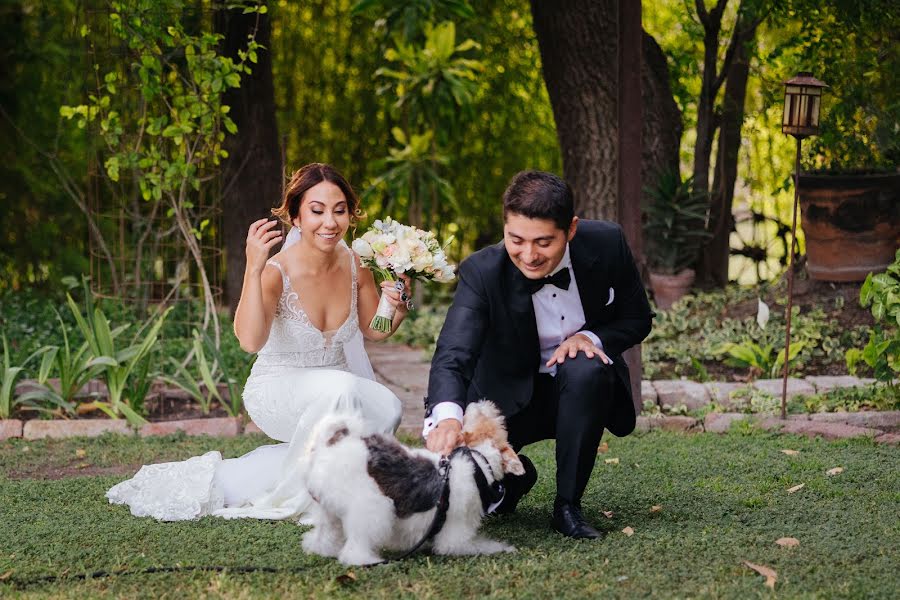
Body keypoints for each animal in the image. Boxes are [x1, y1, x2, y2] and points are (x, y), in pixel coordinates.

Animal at [302, 400, 528, 564]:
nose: (480, 403)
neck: (478, 461)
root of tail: (326, 446)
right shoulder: (455, 537)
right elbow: (479, 545)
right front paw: (504, 548)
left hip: (327, 510)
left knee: (322, 536)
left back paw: (322, 549)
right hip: (372, 509)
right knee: (354, 548)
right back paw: (367, 560)